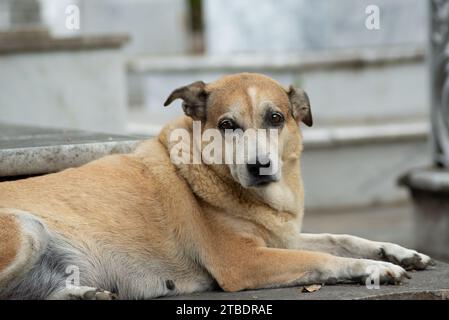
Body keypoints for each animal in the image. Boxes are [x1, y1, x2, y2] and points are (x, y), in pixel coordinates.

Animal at [0, 73, 434, 300]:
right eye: (228, 125)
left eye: (276, 118)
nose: (259, 166)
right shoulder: (245, 261)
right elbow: (324, 258)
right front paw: (375, 268)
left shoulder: (279, 238)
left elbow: (340, 237)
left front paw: (397, 252)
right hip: (27, 229)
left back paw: (85, 293)